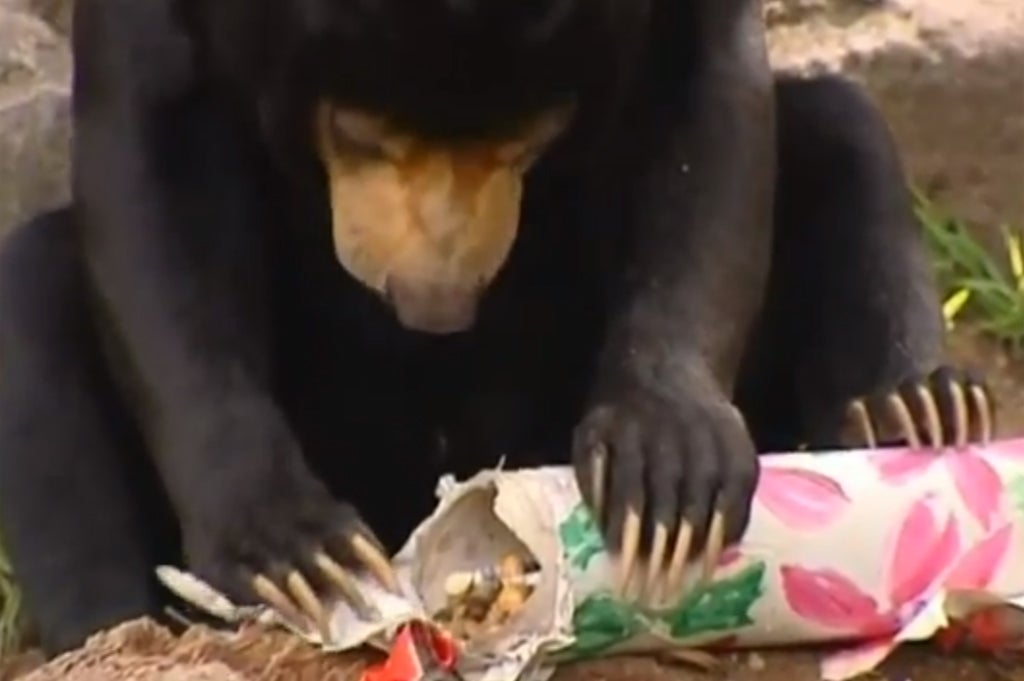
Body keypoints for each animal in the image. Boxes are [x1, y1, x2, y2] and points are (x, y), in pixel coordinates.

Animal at [0, 0, 991, 655]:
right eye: (358, 133)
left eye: (532, 138)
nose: (435, 302)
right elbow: (152, 151)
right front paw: (298, 553)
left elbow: (708, 106)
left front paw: (666, 472)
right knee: (36, 311)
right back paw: (129, 636)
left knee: (838, 128)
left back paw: (916, 410)